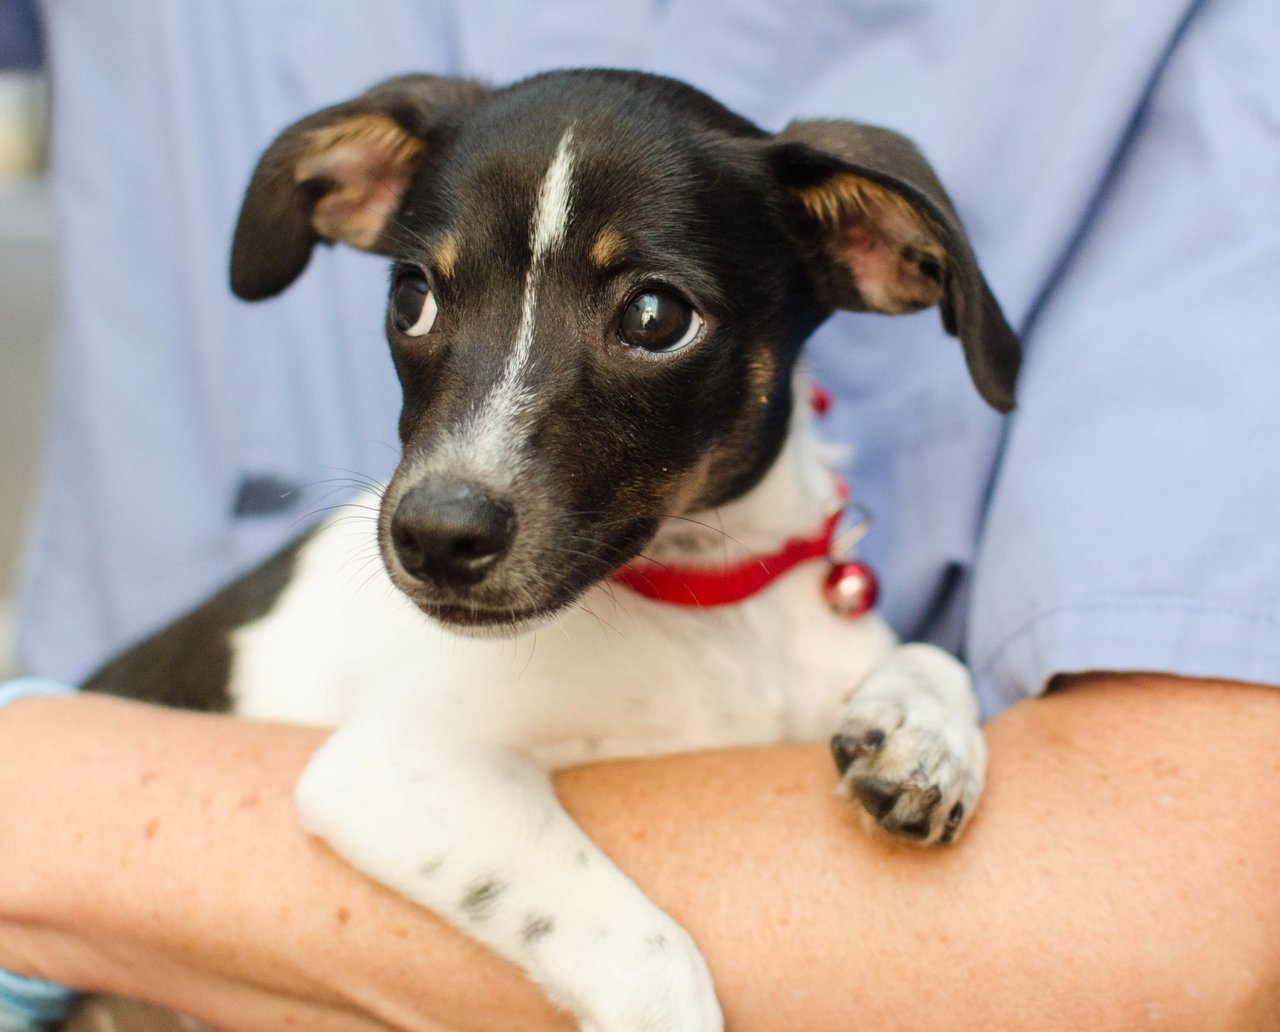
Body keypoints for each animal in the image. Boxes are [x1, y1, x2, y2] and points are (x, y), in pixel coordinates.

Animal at [77, 72, 1018, 1032]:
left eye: (655, 316)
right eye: (411, 298)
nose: (436, 534)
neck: (706, 608)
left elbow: (932, 655)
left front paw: (923, 734)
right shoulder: (397, 763)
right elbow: (650, 954)